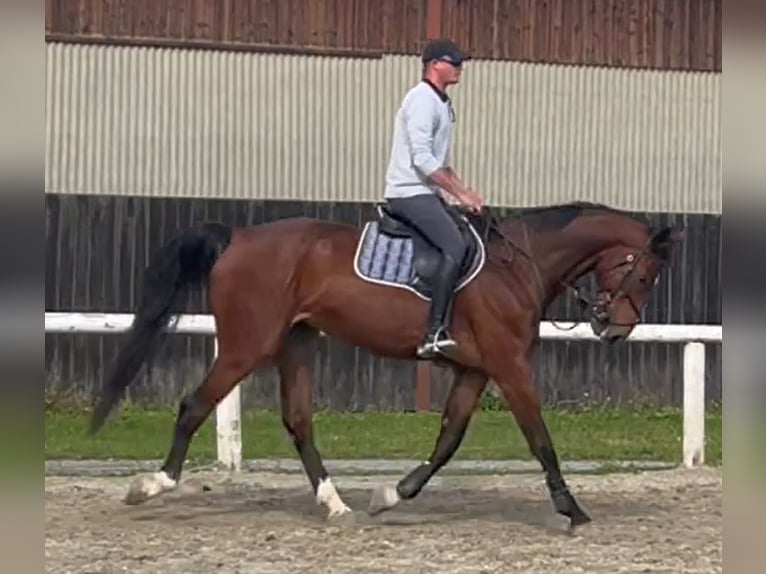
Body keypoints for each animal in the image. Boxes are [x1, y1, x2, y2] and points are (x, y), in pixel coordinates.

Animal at [88, 201, 684, 532]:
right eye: (645, 274)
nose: (615, 329)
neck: (520, 264)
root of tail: (241, 236)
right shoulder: (510, 368)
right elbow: (540, 438)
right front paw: (572, 510)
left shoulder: (475, 371)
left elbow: (448, 441)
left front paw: (391, 495)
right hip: (246, 346)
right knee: (193, 405)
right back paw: (153, 485)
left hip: (295, 343)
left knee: (298, 421)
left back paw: (335, 505)